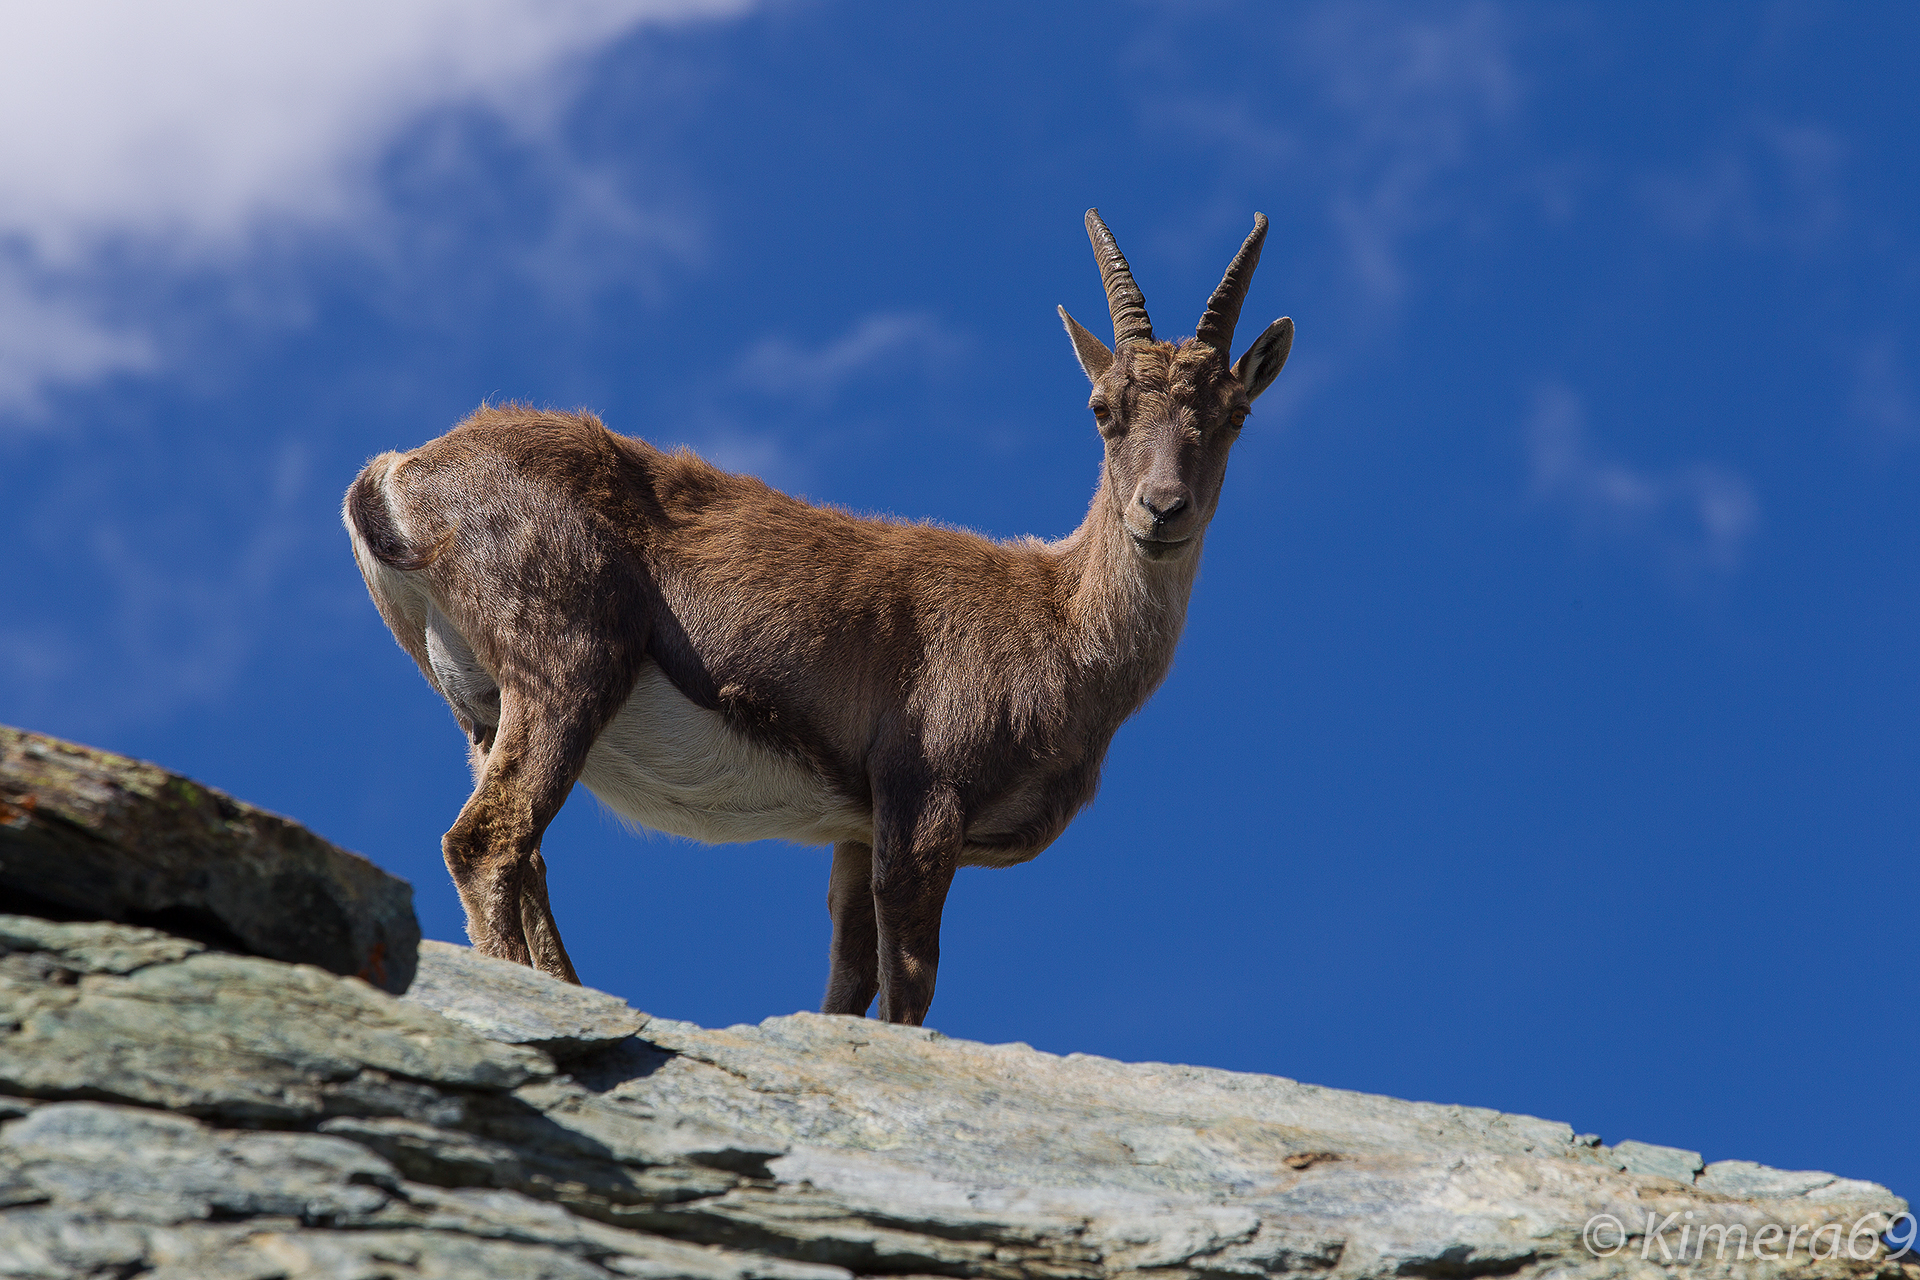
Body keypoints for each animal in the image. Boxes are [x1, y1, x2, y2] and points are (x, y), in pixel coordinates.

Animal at [343, 209, 1292, 1024]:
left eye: (1236, 414)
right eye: (1103, 409)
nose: (1161, 511)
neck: (1060, 624)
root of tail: (401, 475)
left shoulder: (857, 828)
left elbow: (847, 984)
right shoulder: (923, 801)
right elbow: (909, 987)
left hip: (484, 709)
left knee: (528, 856)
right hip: (567, 666)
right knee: (488, 843)